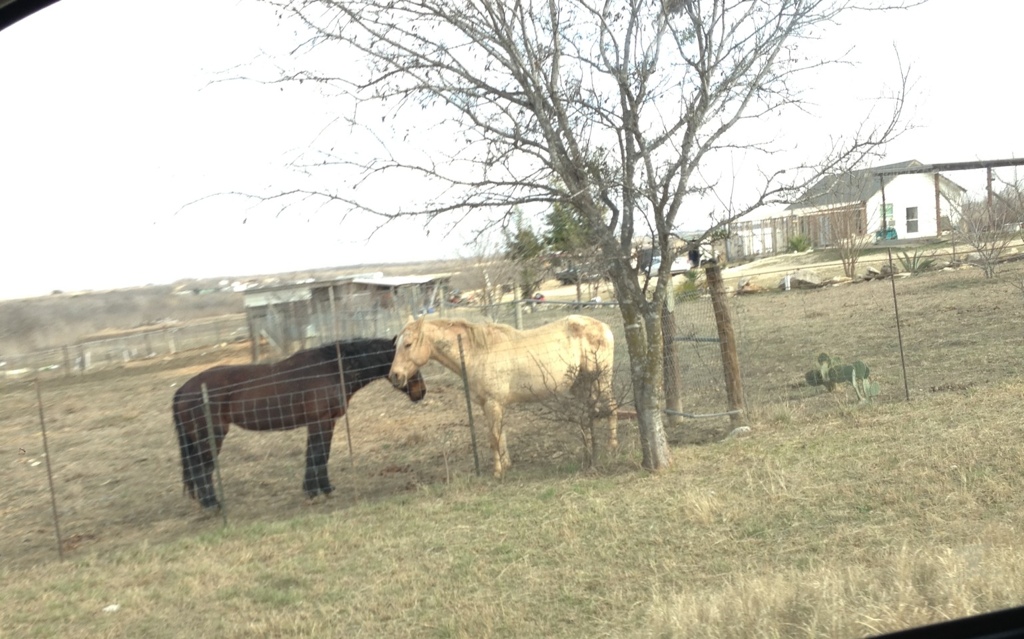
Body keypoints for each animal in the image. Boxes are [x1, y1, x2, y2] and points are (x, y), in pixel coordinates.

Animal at [172, 337, 426, 509]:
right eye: (408, 360)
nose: (421, 392)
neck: (333, 368)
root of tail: (183, 389)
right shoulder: (321, 423)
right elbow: (318, 455)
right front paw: (320, 490)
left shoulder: (323, 423)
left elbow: (316, 455)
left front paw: (314, 489)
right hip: (210, 437)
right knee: (202, 470)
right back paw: (213, 504)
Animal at [388, 315, 617, 477]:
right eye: (396, 345)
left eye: (408, 344)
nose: (394, 376)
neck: (478, 353)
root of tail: (603, 326)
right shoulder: (491, 405)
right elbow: (501, 435)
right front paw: (507, 465)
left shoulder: (493, 404)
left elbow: (494, 438)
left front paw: (498, 472)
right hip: (581, 385)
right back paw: (588, 447)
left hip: (602, 380)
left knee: (611, 407)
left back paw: (611, 447)